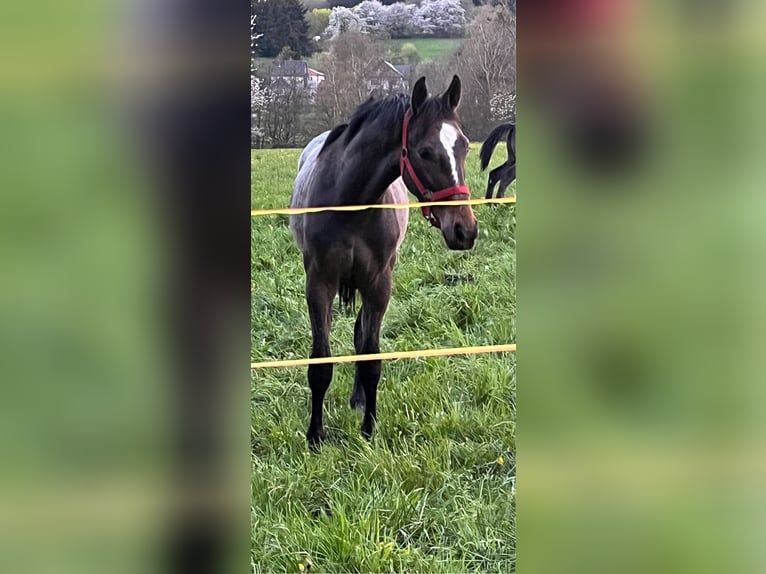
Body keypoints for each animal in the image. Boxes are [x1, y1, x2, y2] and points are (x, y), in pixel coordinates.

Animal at [290, 76, 476, 448]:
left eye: (463, 146)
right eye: (425, 151)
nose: (465, 230)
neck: (350, 202)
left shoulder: (379, 283)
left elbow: (371, 357)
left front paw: (369, 428)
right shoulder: (319, 283)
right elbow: (320, 363)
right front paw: (315, 435)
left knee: (360, 335)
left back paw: (359, 398)